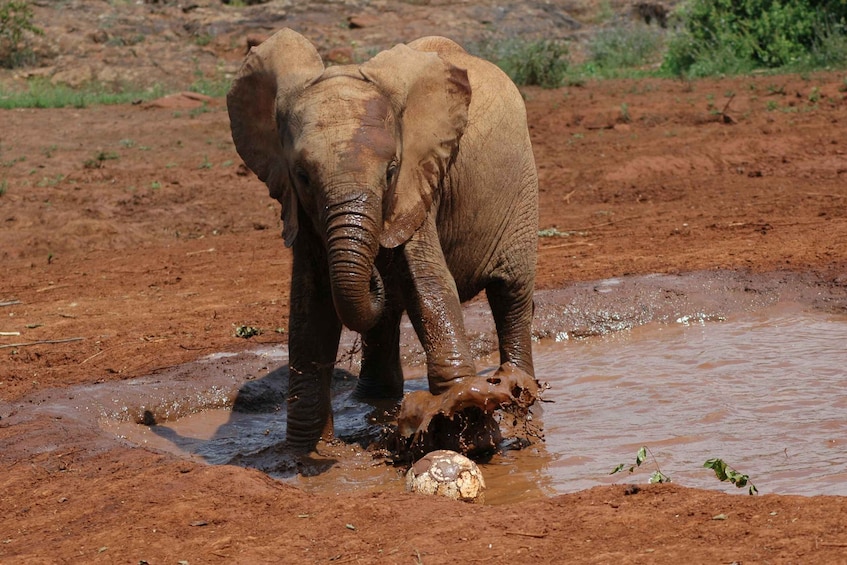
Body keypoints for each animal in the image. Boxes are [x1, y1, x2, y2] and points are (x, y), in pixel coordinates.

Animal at [227, 27, 536, 454]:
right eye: (302, 175)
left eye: (390, 171)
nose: (374, 268)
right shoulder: (302, 210)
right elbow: (311, 306)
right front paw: (303, 454)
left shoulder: (419, 181)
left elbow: (428, 284)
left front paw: (467, 420)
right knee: (385, 314)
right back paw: (372, 401)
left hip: (521, 184)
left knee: (511, 292)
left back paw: (520, 389)